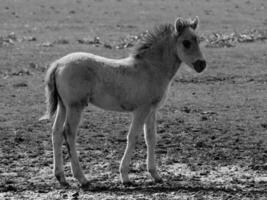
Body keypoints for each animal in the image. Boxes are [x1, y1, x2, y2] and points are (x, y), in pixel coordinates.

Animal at [40, 16, 207, 187]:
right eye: (186, 42)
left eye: (198, 40)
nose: (202, 64)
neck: (151, 68)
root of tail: (58, 64)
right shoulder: (141, 109)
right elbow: (132, 137)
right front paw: (125, 177)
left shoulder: (152, 110)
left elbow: (151, 138)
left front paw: (155, 175)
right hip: (75, 106)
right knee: (68, 133)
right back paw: (82, 179)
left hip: (63, 106)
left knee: (56, 132)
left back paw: (61, 177)